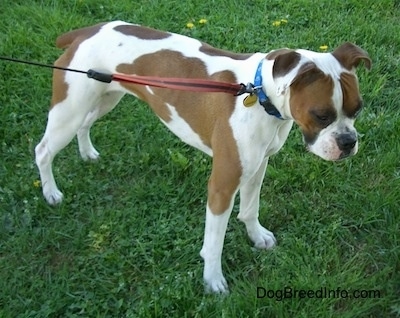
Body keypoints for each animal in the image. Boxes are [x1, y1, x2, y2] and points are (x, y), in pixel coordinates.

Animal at [35, 20, 372, 294]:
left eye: (357, 109)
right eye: (321, 115)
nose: (348, 142)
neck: (259, 92)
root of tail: (86, 32)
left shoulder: (257, 167)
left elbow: (250, 209)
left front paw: (257, 237)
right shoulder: (222, 185)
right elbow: (213, 243)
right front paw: (212, 280)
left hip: (104, 97)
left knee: (86, 123)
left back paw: (87, 153)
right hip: (68, 110)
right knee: (43, 150)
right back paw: (51, 192)